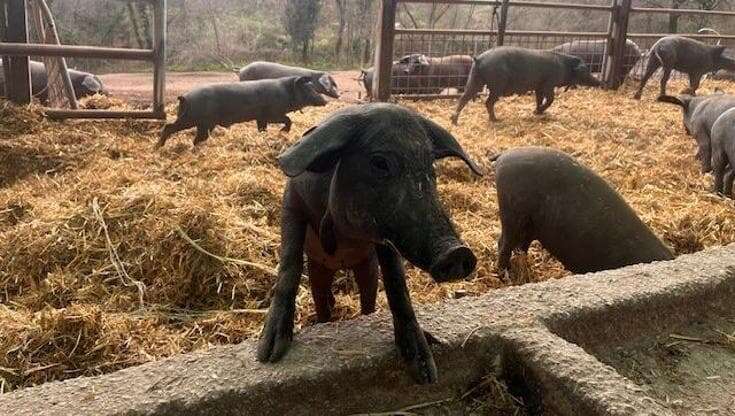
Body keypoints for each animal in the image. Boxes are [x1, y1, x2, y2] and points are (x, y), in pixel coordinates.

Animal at [157, 76, 326, 148]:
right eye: (309, 88)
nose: (326, 101)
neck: (285, 92)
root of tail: (184, 97)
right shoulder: (272, 114)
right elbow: (288, 119)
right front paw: (282, 132)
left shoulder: (260, 118)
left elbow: (262, 128)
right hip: (189, 119)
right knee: (169, 127)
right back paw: (158, 147)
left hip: (203, 124)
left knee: (198, 138)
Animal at [258, 101, 484, 384]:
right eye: (379, 162)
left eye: (431, 167)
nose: (458, 252)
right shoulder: (292, 202)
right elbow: (290, 263)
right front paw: (268, 355)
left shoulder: (385, 240)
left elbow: (397, 283)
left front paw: (426, 373)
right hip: (319, 271)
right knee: (322, 300)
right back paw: (321, 323)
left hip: (367, 268)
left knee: (368, 299)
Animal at [452, 46, 600, 123]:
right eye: (585, 71)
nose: (599, 81)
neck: (564, 67)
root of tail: (479, 59)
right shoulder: (548, 83)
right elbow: (550, 99)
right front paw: (539, 111)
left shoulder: (538, 87)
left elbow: (539, 99)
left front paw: (537, 112)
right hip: (497, 84)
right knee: (488, 102)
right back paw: (496, 120)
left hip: (475, 78)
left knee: (464, 98)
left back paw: (454, 120)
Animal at [492, 148, 676, 274]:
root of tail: (504, 155)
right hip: (511, 212)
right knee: (504, 244)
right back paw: (504, 274)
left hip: (529, 225)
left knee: (520, 245)